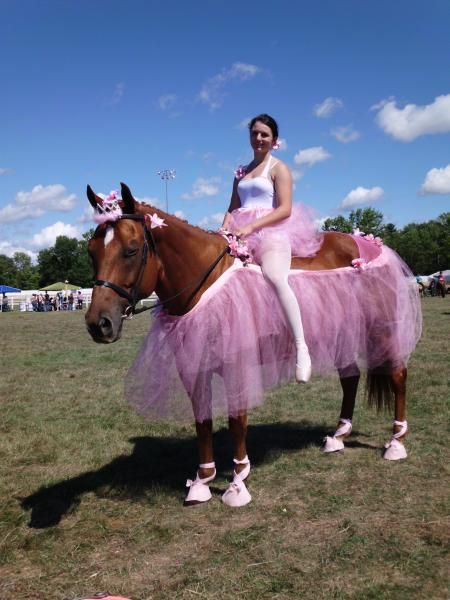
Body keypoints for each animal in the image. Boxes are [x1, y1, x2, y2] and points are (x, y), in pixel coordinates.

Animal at [84, 182, 422, 506]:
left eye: (130, 250)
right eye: (91, 251)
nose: (98, 324)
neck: (207, 283)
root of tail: (369, 245)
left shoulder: (237, 366)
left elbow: (237, 421)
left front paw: (237, 483)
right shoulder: (194, 368)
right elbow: (202, 421)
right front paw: (202, 482)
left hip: (382, 329)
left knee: (397, 376)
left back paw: (396, 442)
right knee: (350, 377)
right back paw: (339, 436)